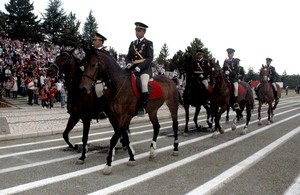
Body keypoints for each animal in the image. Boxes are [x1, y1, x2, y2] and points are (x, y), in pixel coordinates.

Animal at [78, 47, 179, 175]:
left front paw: (108, 164)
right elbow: (124, 136)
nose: (83, 88)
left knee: (175, 125)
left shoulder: (125, 115)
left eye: (93, 64)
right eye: (83, 64)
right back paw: (152, 152)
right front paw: (131, 158)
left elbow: (114, 138)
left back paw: (175, 148)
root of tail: (170, 80)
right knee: (156, 126)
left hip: (172, 105)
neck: (119, 85)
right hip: (152, 110)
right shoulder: (116, 116)